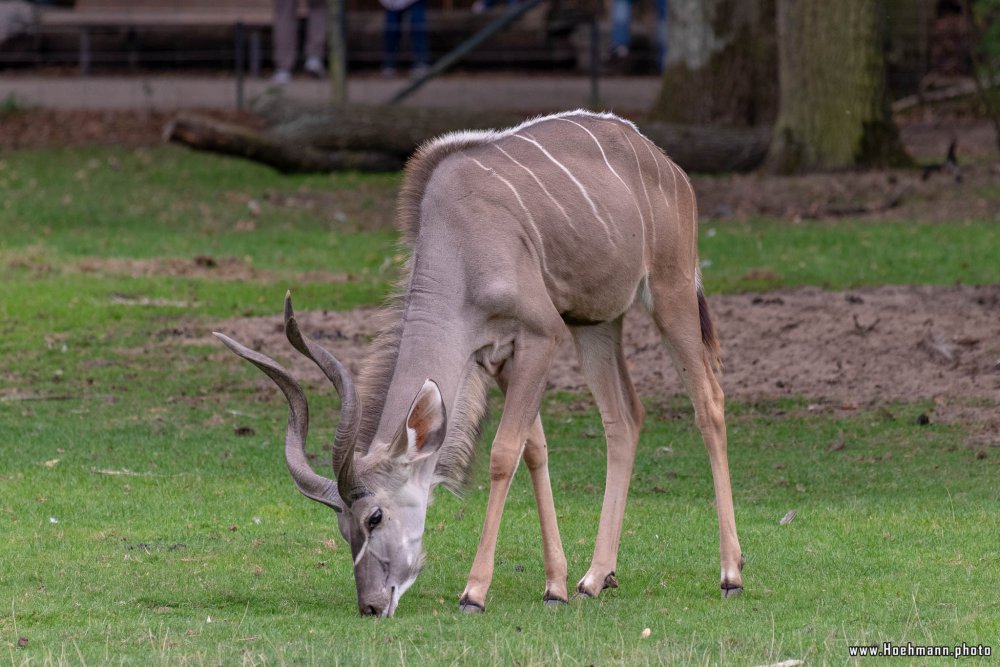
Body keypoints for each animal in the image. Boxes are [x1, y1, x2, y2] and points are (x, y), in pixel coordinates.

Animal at [215, 109, 744, 616]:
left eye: (375, 516)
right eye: (344, 529)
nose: (371, 604)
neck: (459, 246)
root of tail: (665, 164)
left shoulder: (541, 335)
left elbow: (504, 453)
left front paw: (474, 592)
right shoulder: (499, 356)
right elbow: (534, 448)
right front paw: (555, 587)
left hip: (670, 292)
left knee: (709, 403)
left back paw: (731, 574)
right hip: (595, 322)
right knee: (624, 417)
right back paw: (596, 578)